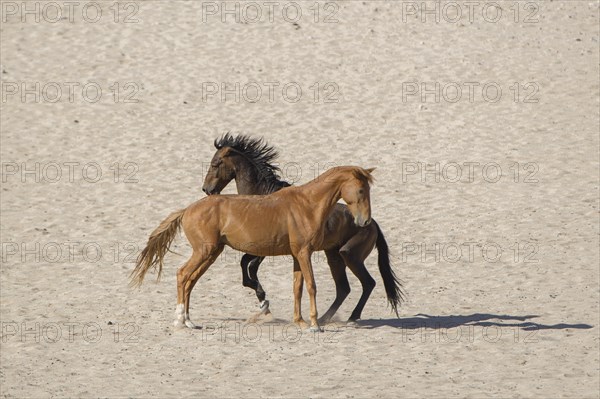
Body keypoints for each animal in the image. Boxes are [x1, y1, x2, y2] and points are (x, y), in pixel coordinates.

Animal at [202, 133, 404, 324]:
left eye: (215, 164)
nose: (207, 189)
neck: (261, 197)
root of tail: (372, 223)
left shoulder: (263, 250)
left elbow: (248, 267)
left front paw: (264, 301)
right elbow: (246, 268)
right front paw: (263, 301)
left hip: (349, 255)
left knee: (368, 283)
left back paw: (351, 316)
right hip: (334, 256)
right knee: (344, 289)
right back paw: (324, 318)